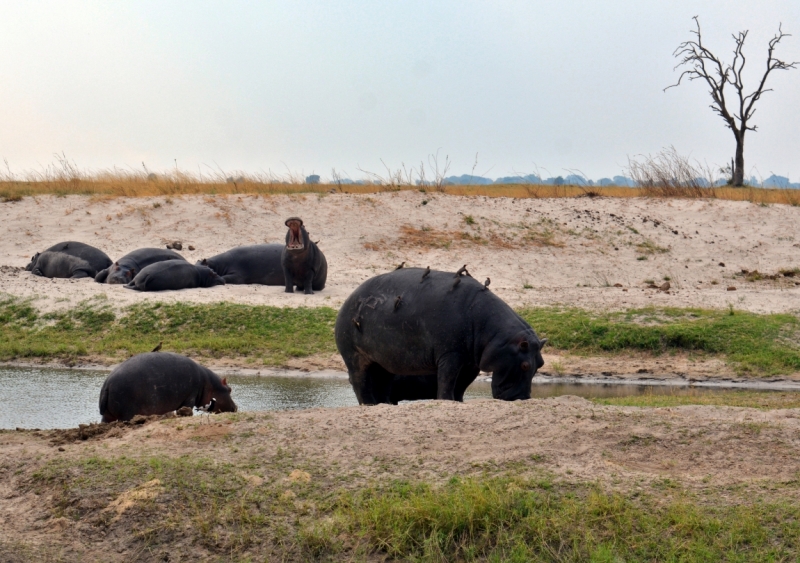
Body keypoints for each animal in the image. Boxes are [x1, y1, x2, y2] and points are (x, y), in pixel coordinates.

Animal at [96, 352, 234, 424]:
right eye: (230, 389)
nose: (236, 407)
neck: (208, 383)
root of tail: (107, 383)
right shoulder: (190, 397)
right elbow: (187, 409)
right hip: (126, 414)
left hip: (107, 415)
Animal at [334, 268, 548, 406]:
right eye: (525, 365)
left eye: (541, 363)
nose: (522, 397)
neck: (494, 332)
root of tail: (348, 299)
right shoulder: (450, 355)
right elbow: (447, 378)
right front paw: (445, 400)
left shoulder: (471, 364)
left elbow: (460, 385)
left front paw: (457, 402)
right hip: (354, 357)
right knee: (360, 381)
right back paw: (368, 404)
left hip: (384, 361)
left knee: (382, 382)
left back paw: (383, 404)